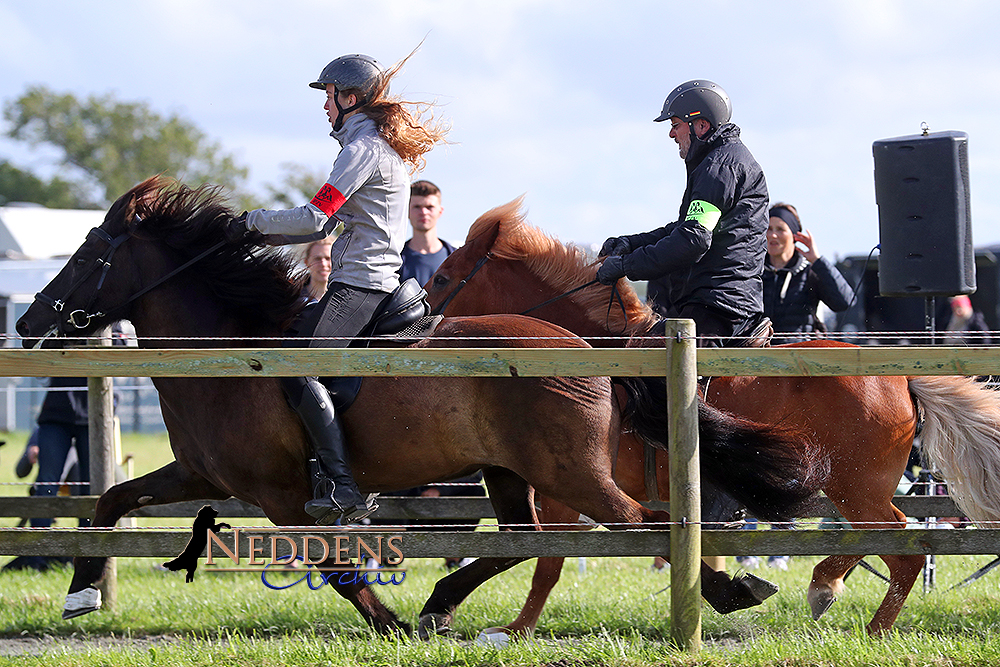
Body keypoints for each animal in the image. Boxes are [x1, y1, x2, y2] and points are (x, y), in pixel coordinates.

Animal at [15, 180, 828, 640]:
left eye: (89, 253)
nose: (28, 321)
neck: (234, 349)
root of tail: (584, 345)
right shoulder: (204, 477)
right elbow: (111, 501)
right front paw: (81, 592)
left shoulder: (281, 494)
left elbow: (337, 562)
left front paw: (388, 623)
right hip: (512, 473)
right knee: (526, 540)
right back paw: (443, 602)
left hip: (571, 474)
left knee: (642, 524)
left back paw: (728, 588)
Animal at [424, 200, 1000, 640]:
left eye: (445, 276)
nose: (417, 321)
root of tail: (901, 378)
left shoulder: (570, 490)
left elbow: (545, 560)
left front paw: (514, 629)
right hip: (848, 488)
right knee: (882, 543)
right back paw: (834, 591)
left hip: (856, 488)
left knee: (899, 546)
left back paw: (852, 610)